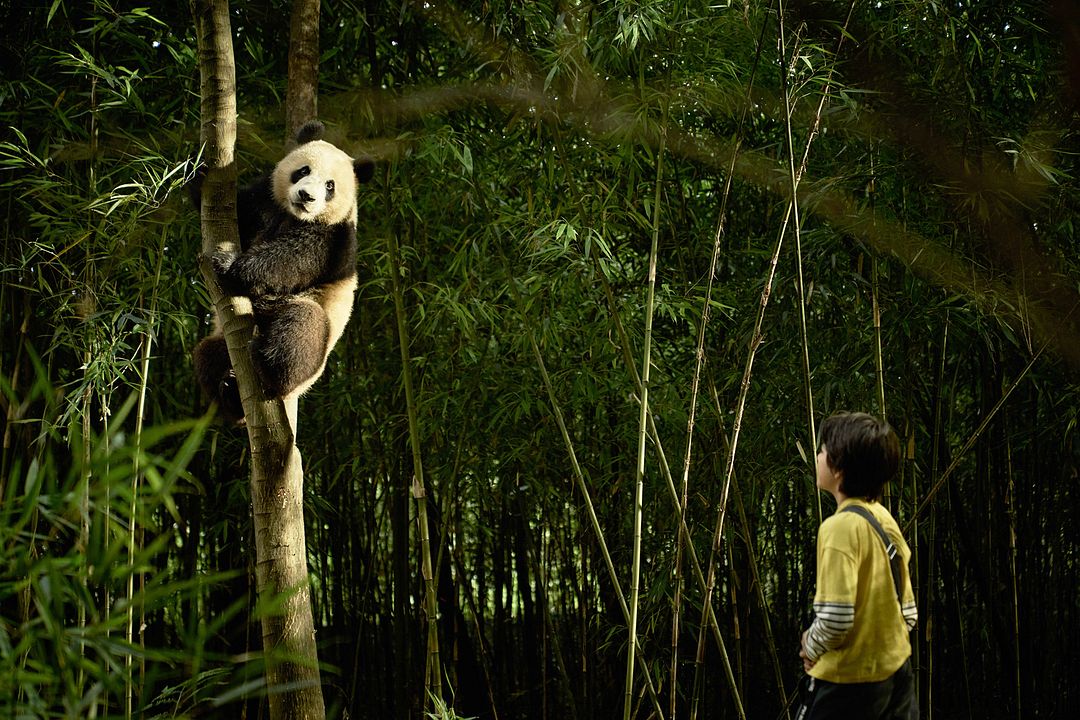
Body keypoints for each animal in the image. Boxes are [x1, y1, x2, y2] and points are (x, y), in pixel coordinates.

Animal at [192, 121, 375, 421]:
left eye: (330, 186)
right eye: (303, 171)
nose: (306, 196)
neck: (293, 214)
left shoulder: (335, 239)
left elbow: (292, 259)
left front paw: (230, 264)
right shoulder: (264, 202)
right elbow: (240, 209)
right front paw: (197, 174)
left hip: (310, 330)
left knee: (301, 329)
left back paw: (269, 369)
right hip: (221, 341)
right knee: (207, 355)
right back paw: (230, 396)